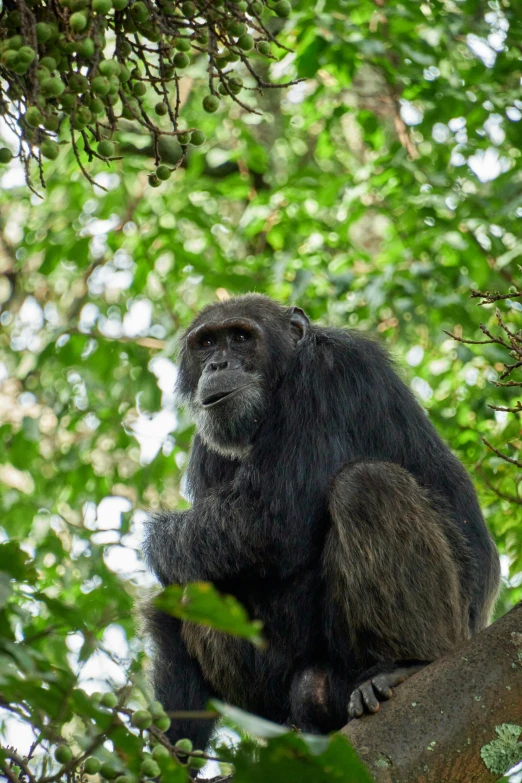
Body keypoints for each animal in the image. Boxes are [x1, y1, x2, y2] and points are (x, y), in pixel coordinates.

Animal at [140, 294, 498, 748]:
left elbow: (270, 523)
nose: (218, 365)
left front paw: (155, 543)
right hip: (277, 702)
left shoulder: (328, 374)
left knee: (365, 485)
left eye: (240, 337)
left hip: (446, 637)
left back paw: (404, 665)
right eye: (206, 343)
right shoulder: (208, 447)